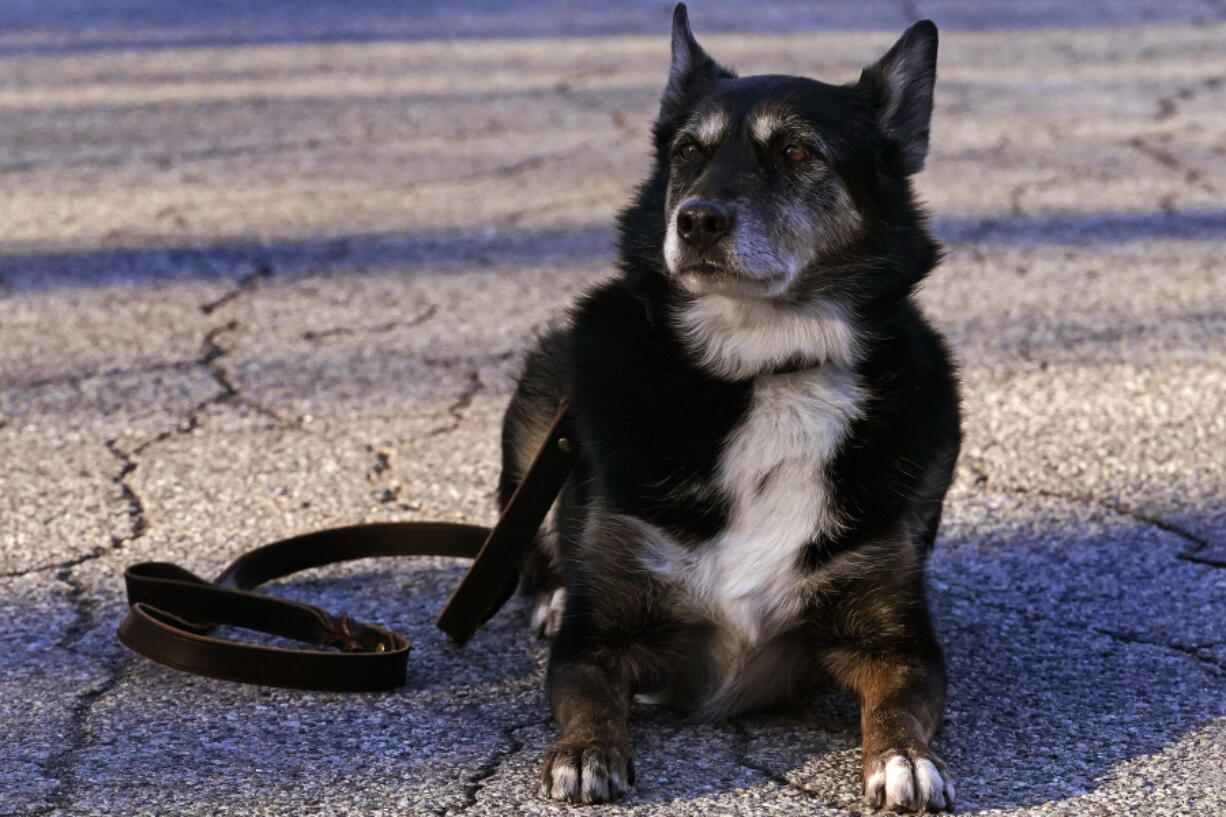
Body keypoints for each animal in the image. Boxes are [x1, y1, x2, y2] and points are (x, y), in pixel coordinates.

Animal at [495, 4, 956, 809]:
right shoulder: (599, 637)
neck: (768, 366)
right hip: (539, 411)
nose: (697, 220)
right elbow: (587, 693)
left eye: (798, 151)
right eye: (688, 151)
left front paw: (903, 757)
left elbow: (898, 700)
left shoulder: (896, 640)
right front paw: (584, 751)